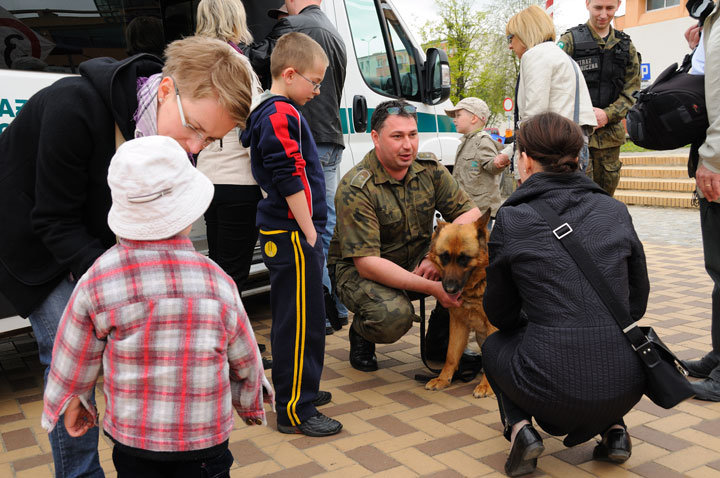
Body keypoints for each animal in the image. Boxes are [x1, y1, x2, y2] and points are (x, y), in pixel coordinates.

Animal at [424, 211, 498, 398]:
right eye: (444, 257)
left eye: (464, 258)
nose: (449, 289)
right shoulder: (458, 322)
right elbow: (451, 354)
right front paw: (443, 379)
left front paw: (487, 386)